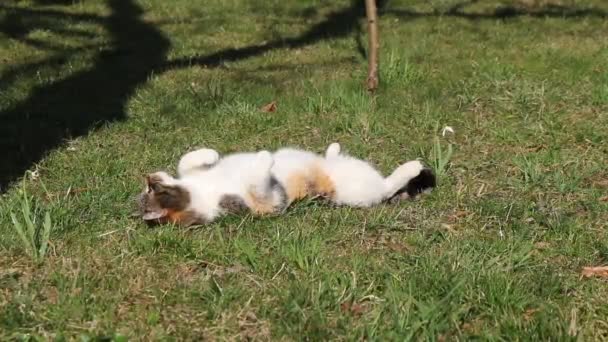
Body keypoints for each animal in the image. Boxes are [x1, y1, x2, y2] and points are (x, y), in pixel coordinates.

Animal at [137, 142, 434, 227]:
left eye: (149, 189)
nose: (148, 177)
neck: (199, 191)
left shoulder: (190, 172)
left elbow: (186, 159)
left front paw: (210, 153)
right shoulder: (261, 203)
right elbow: (259, 181)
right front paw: (265, 157)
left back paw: (333, 148)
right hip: (360, 191)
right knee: (388, 186)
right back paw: (412, 166)